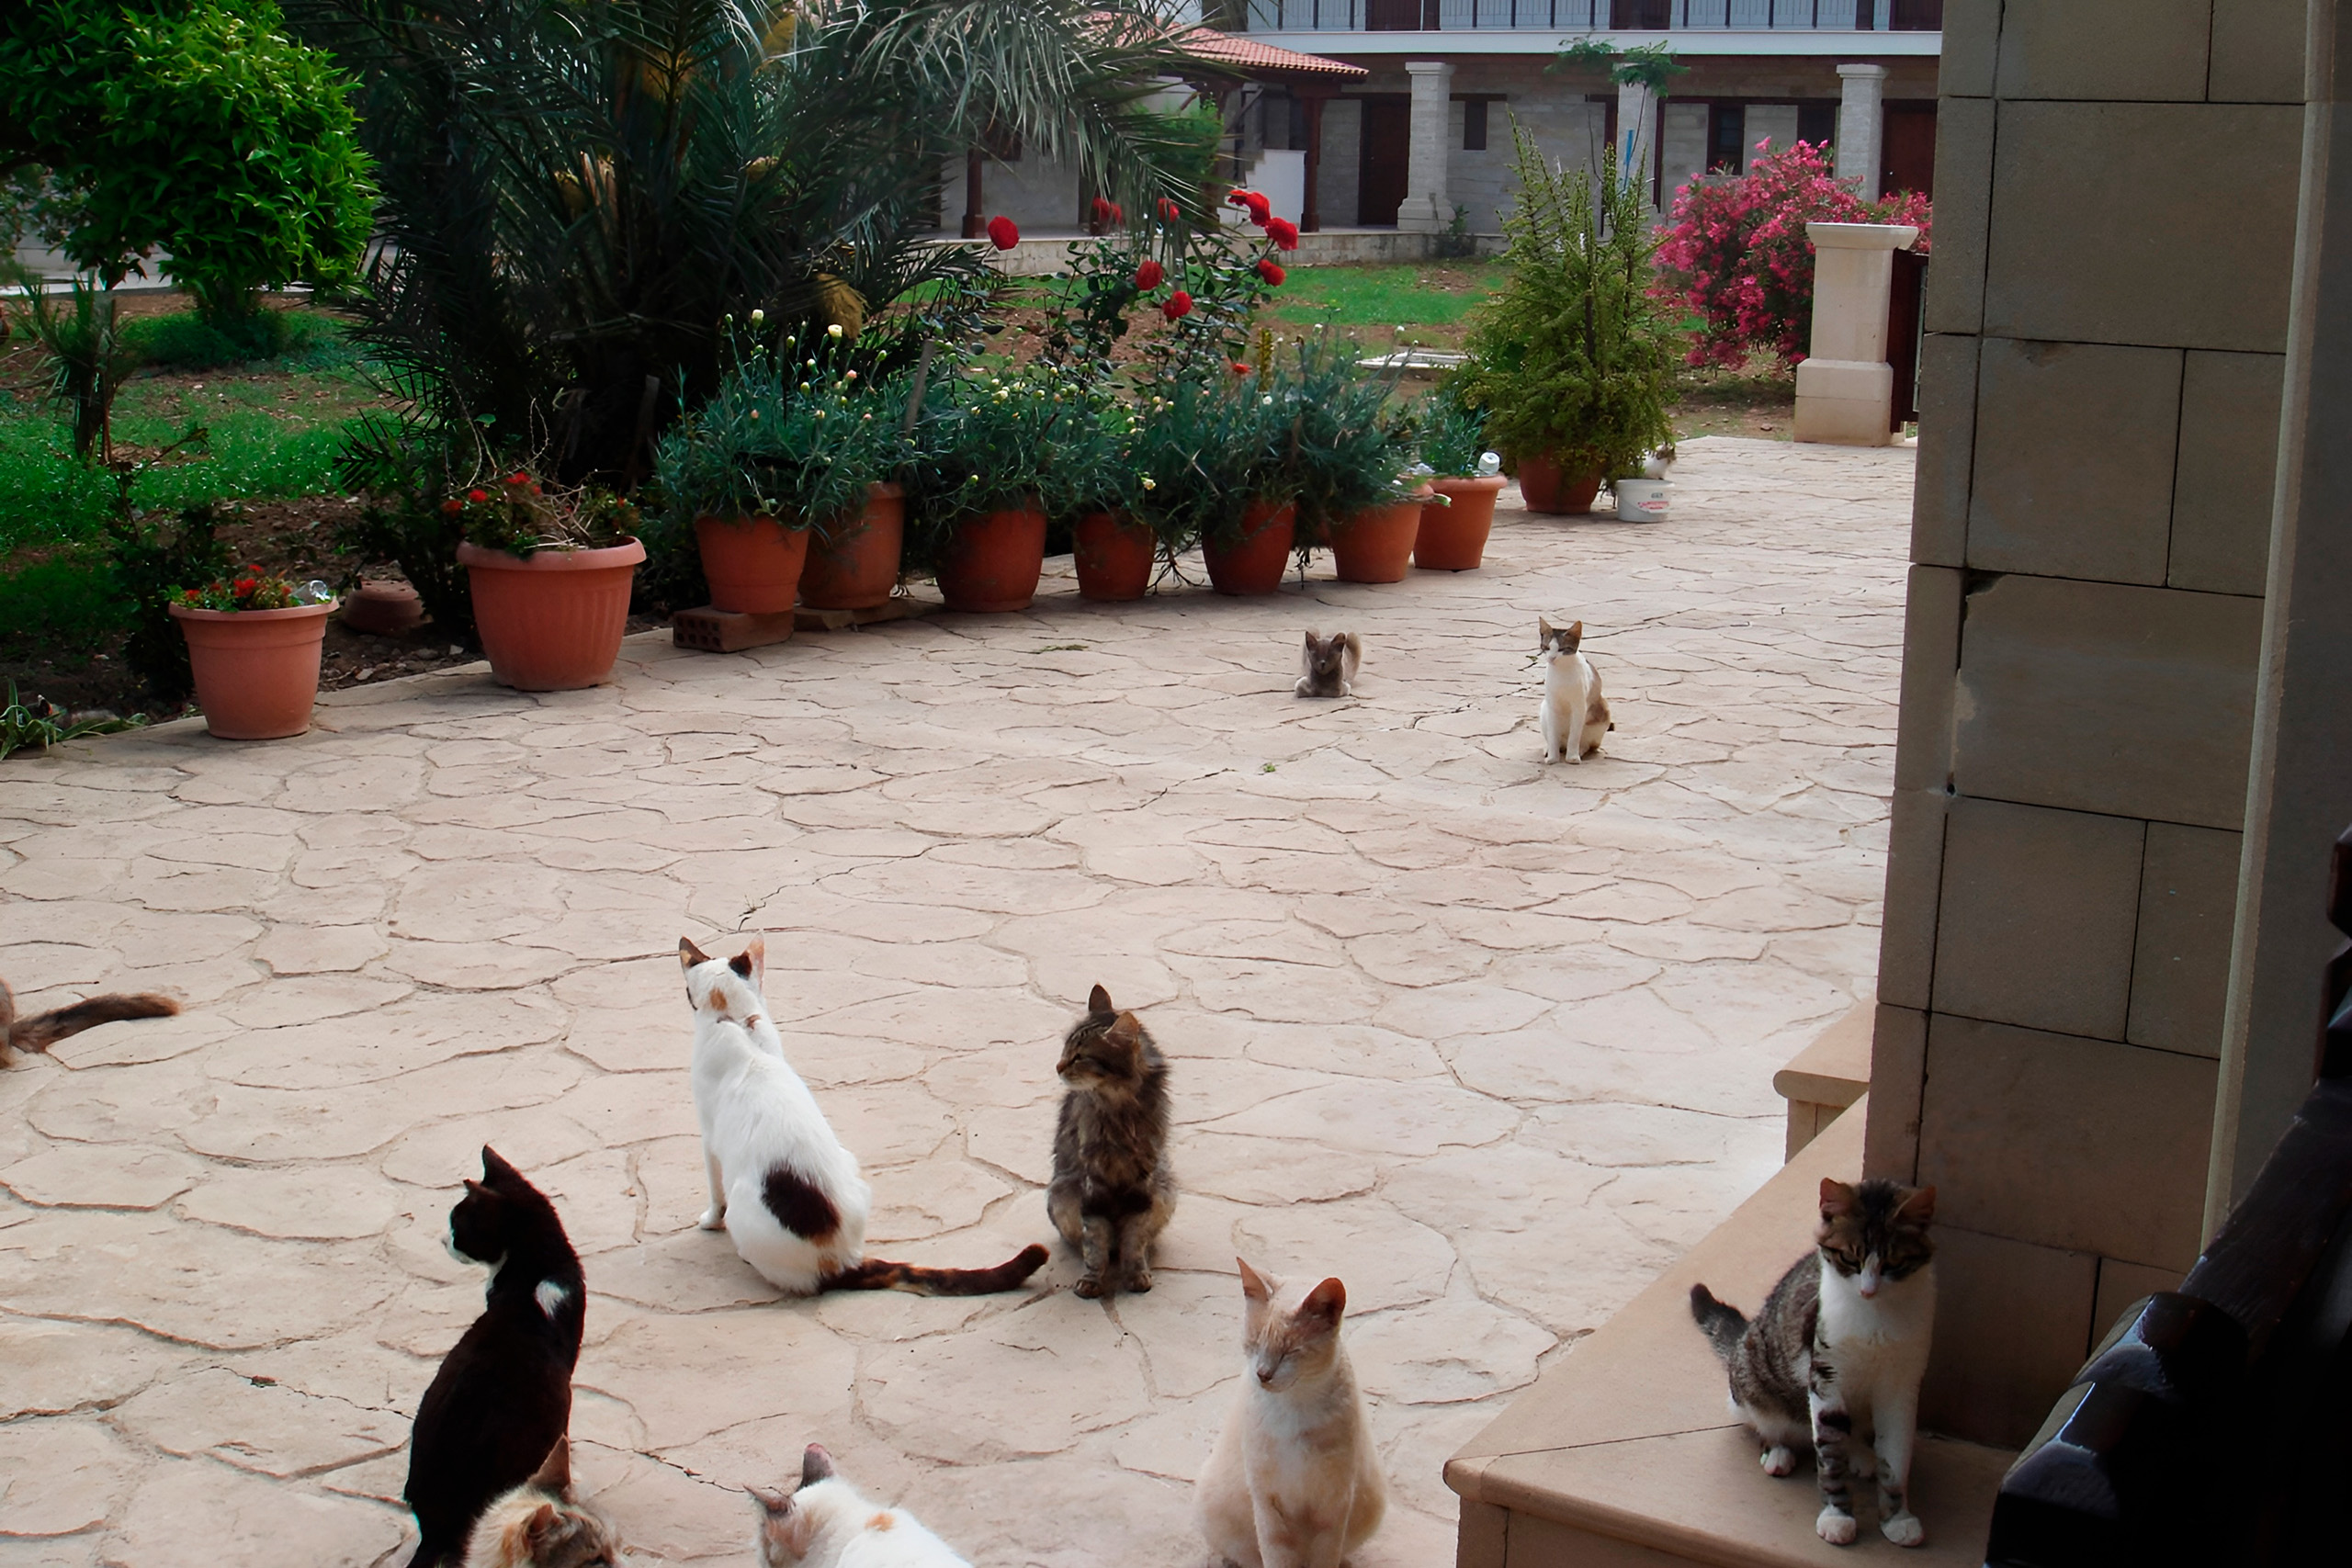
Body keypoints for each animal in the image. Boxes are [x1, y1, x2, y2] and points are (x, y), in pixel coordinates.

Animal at [680, 935, 1047, 1296]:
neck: (734, 1022)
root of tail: (844, 1260)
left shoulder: (708, 1139)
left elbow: (715, 1194)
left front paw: (709, 1221)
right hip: (850, 1163)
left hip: (745, 1207)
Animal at [1046, 983, 1174, 1299]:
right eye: (1065, 1049)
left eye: (1080, 1057)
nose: (1057, 1066)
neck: (1120, 1109)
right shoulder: (1093, 1182)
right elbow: (1095, 1243)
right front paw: (1092, 1281)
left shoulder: (1144, 1180)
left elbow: (1134, 1239)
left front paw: (1137, 1274)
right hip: (1062, 1190)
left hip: (1166, 1189)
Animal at [1196, 1259, 1386, 1568]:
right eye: (1254, 1344)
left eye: (1290, 1352)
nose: (1262, 1374)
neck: (1293, 1407)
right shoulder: (1268, 1504)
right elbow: (1277, 1557)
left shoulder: (1334, 1505)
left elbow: (1326, 1557)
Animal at [1537, 618, 1611, 765]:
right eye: (1547, 648)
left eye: (1561, 649)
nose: (1551, 658)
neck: (1562, 671)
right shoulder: (1552, 705)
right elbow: (1553, 736)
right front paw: (1552, 758)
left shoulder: (1579, 706)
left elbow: (1575, 736)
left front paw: (1572, 757)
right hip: (1544, 709)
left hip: (1602, 713)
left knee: (1586, 743)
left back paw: (1580, 750)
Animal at [1690, 1178, 1938, 1549]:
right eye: (1850, 1257)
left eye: (1894, 1263)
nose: (1868, 1290)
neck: (1876, 1317)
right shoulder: (1825, 1376)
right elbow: (1829, 1457)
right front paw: (1837, 1517)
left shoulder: (1902, 1384)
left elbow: (1896, 1456)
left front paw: (1898, 1519)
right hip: (1752, 1377)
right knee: (1766, 1423)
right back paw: (1778, 1453)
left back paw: (1861, 1455)